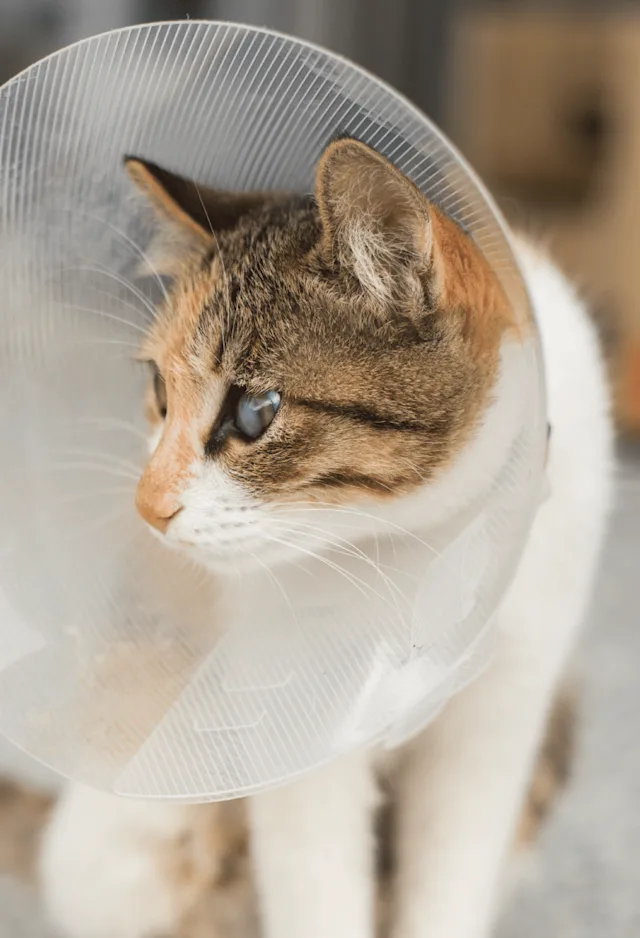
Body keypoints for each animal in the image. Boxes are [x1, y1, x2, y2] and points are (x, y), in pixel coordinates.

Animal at [37, 139, 612, 936]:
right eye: (158, 391)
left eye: (256, 411)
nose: (147, 507)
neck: (427, 552)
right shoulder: (300, 729)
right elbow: (317, 887)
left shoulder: (502, 707)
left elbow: (450, 875)